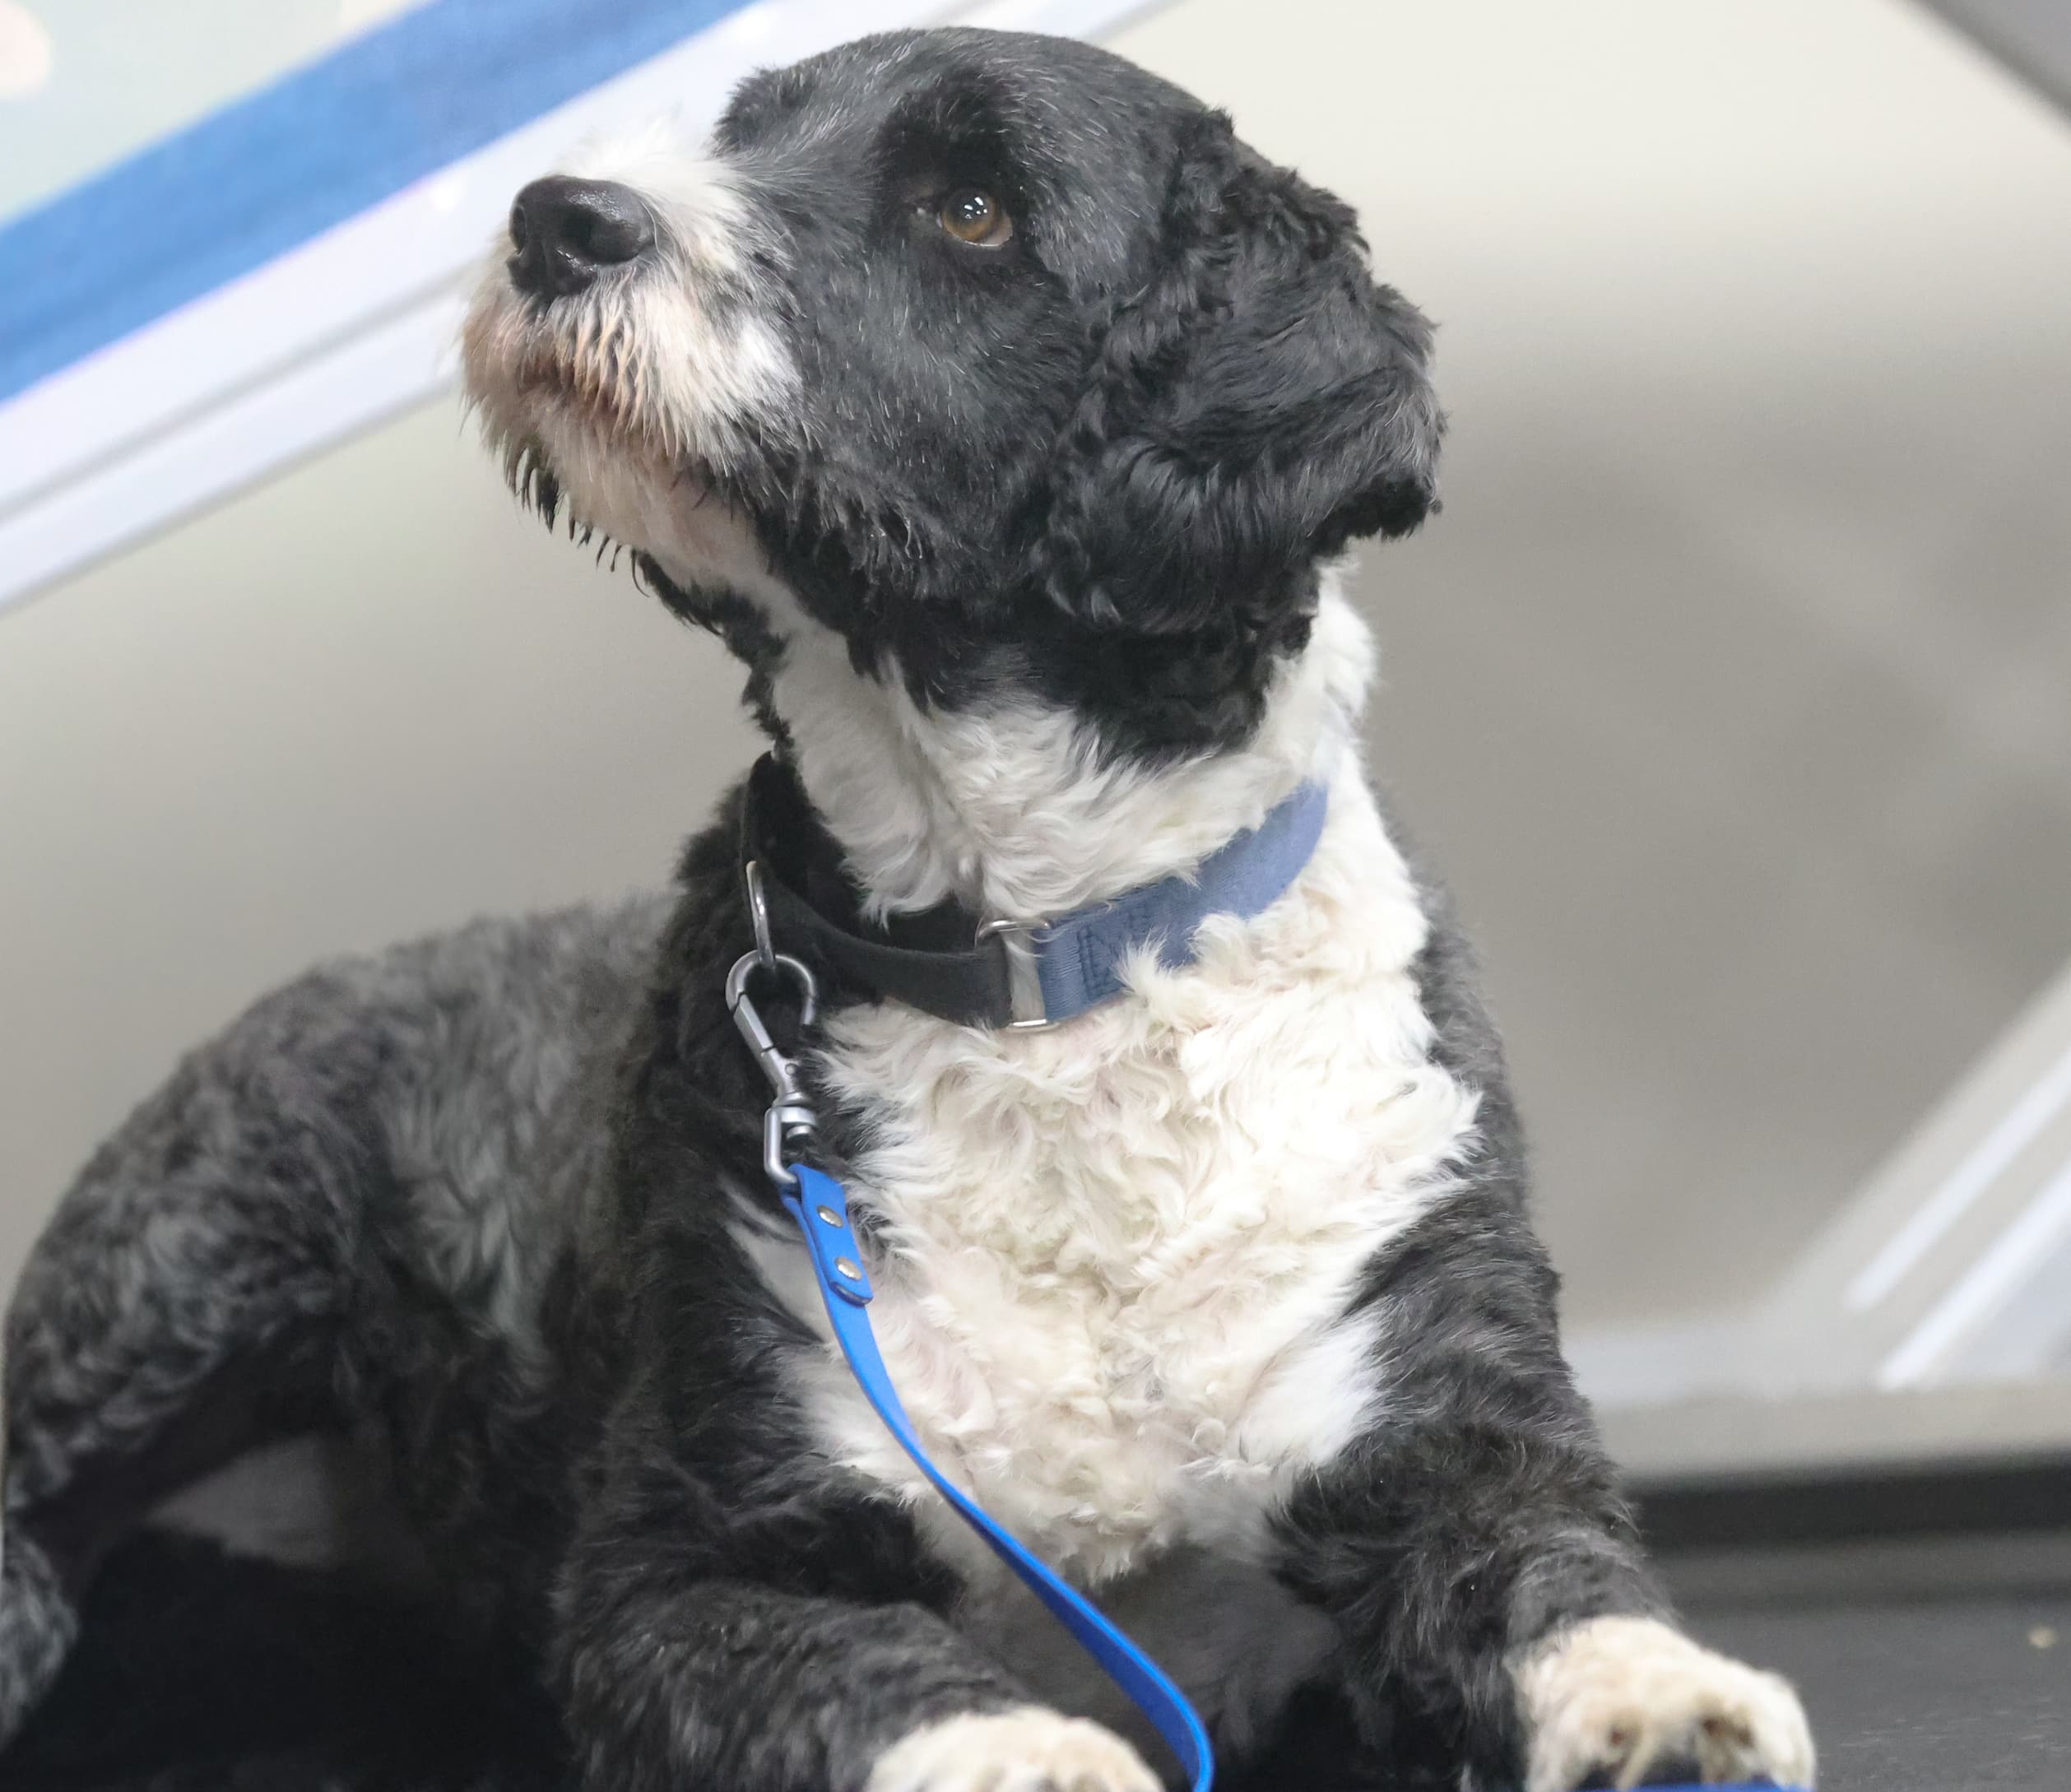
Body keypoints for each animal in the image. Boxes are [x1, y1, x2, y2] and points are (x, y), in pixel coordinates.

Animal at [0, 27, 1814, 1792]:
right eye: (741, 130)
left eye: (971, 208)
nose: (558, 217)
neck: (1035, 972)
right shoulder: (689, 1552)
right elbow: (880, 1675)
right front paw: (1030, 1754)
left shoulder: (1435, 1396)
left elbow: (1551, 1569)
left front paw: (1665, 1700)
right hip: (190, 1252)